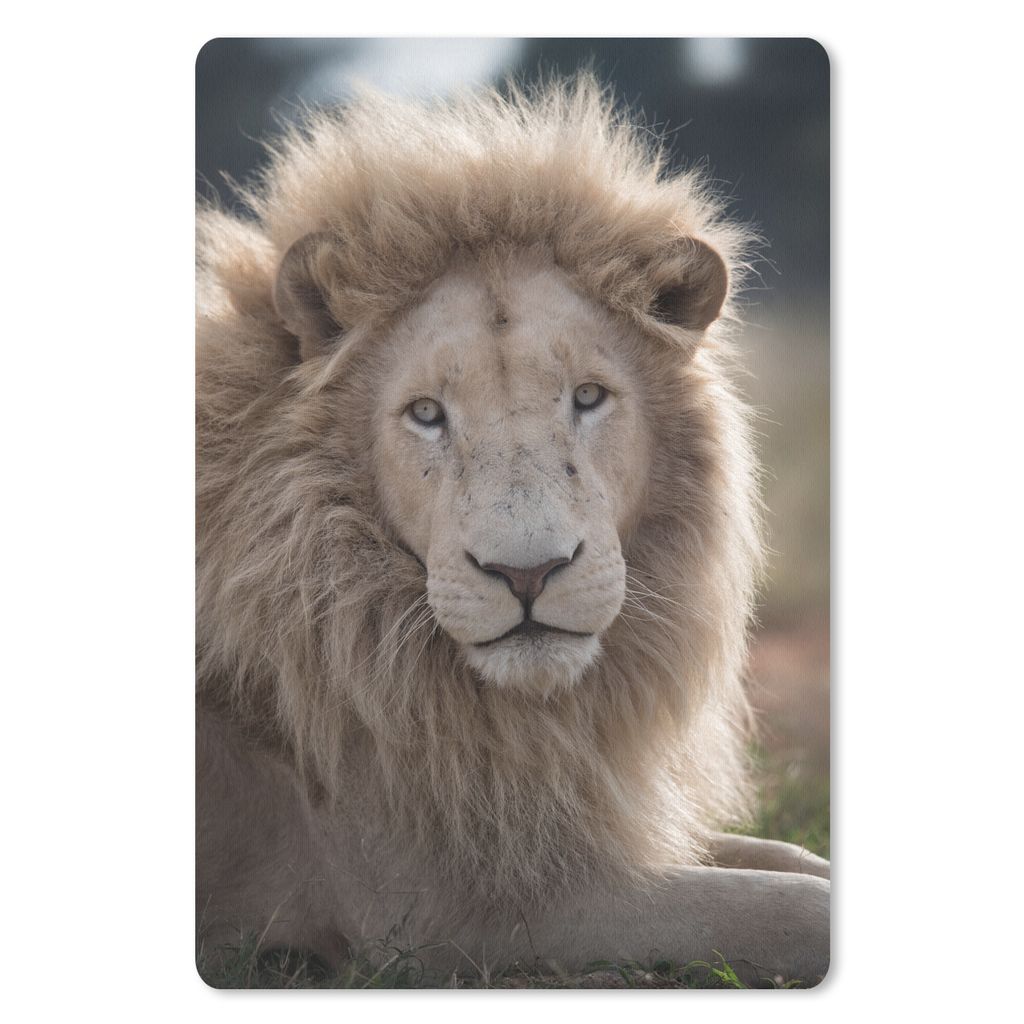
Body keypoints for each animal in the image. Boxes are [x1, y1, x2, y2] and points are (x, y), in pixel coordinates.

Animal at [196, 77, 830, 986]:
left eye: (589, 397)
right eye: (427, 413)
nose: (527, 574)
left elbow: (792, 859)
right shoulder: (455, 916)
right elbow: (784, 908)